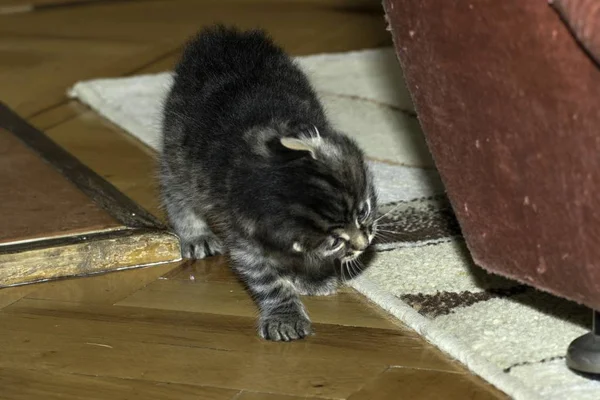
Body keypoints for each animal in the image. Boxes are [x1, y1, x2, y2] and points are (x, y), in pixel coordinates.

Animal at [158, 25, 376, 340]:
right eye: (335, 241)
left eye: (363, 211)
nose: (363, 244)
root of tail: (221, 36)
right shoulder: (243, 238)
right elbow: (268, 281)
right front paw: (285, 316)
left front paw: (311, 278)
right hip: (178, 150)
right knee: (174, 189)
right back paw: (194, 234)